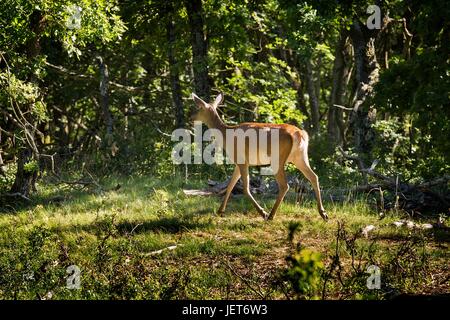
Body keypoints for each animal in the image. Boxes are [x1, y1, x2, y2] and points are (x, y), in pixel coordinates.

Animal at [190, 92, 326, 221]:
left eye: (198, 108)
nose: (191, 118)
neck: (226, 136)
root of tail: (300, 133)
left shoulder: (242, 161)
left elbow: (245, 189)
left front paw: (262, 212)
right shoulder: (238, 162)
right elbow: (230, 186)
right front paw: (220, 211)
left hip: (278, 158)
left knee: (284, 185)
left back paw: (270, 215)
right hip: (300, 157)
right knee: (314, 176)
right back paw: (323, 213)